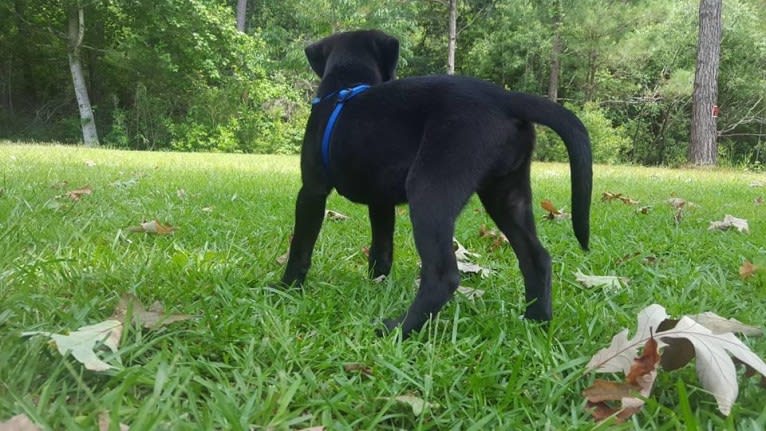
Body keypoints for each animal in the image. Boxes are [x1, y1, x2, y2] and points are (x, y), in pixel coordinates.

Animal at [278, 29, 592, 340]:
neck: (347, 85)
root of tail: (505, 98)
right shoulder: (380, 203)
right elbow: (381, 249)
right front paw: (376, 284)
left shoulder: (312, 191)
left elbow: (301, 247)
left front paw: (285, 289)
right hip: (506, 193)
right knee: (536, 258)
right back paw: (536, 322)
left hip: (430, 189)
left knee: (443, 275)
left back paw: (398, 329)